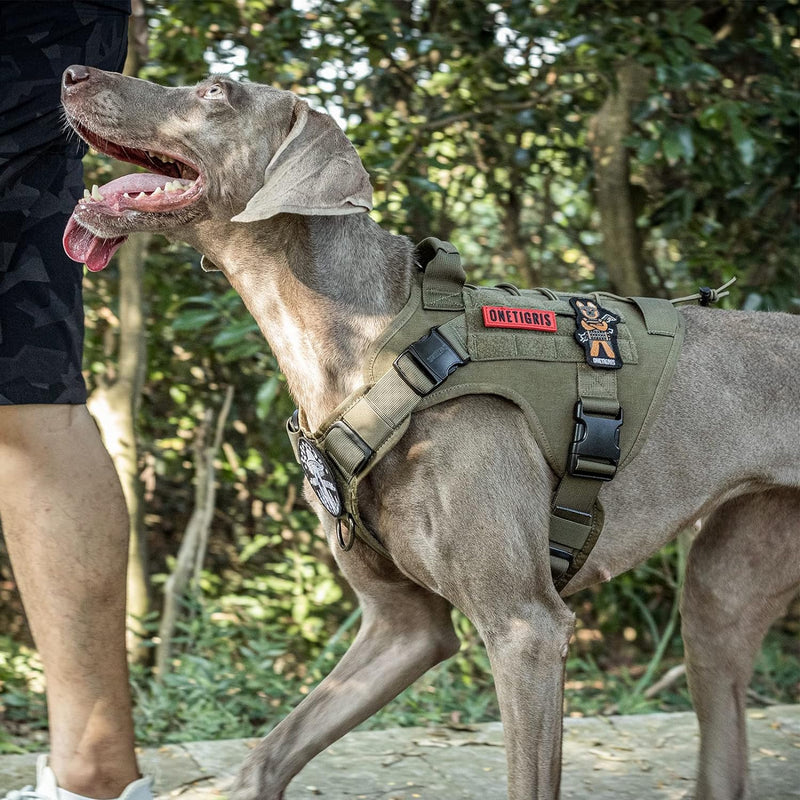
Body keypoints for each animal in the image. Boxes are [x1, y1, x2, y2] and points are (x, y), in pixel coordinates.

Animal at [61, 69, 800, 800]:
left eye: (216, 90)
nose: (71, 73)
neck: (374, 344)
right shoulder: (403, 629)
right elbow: (272, 751)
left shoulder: (527, 630)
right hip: (718, 599)